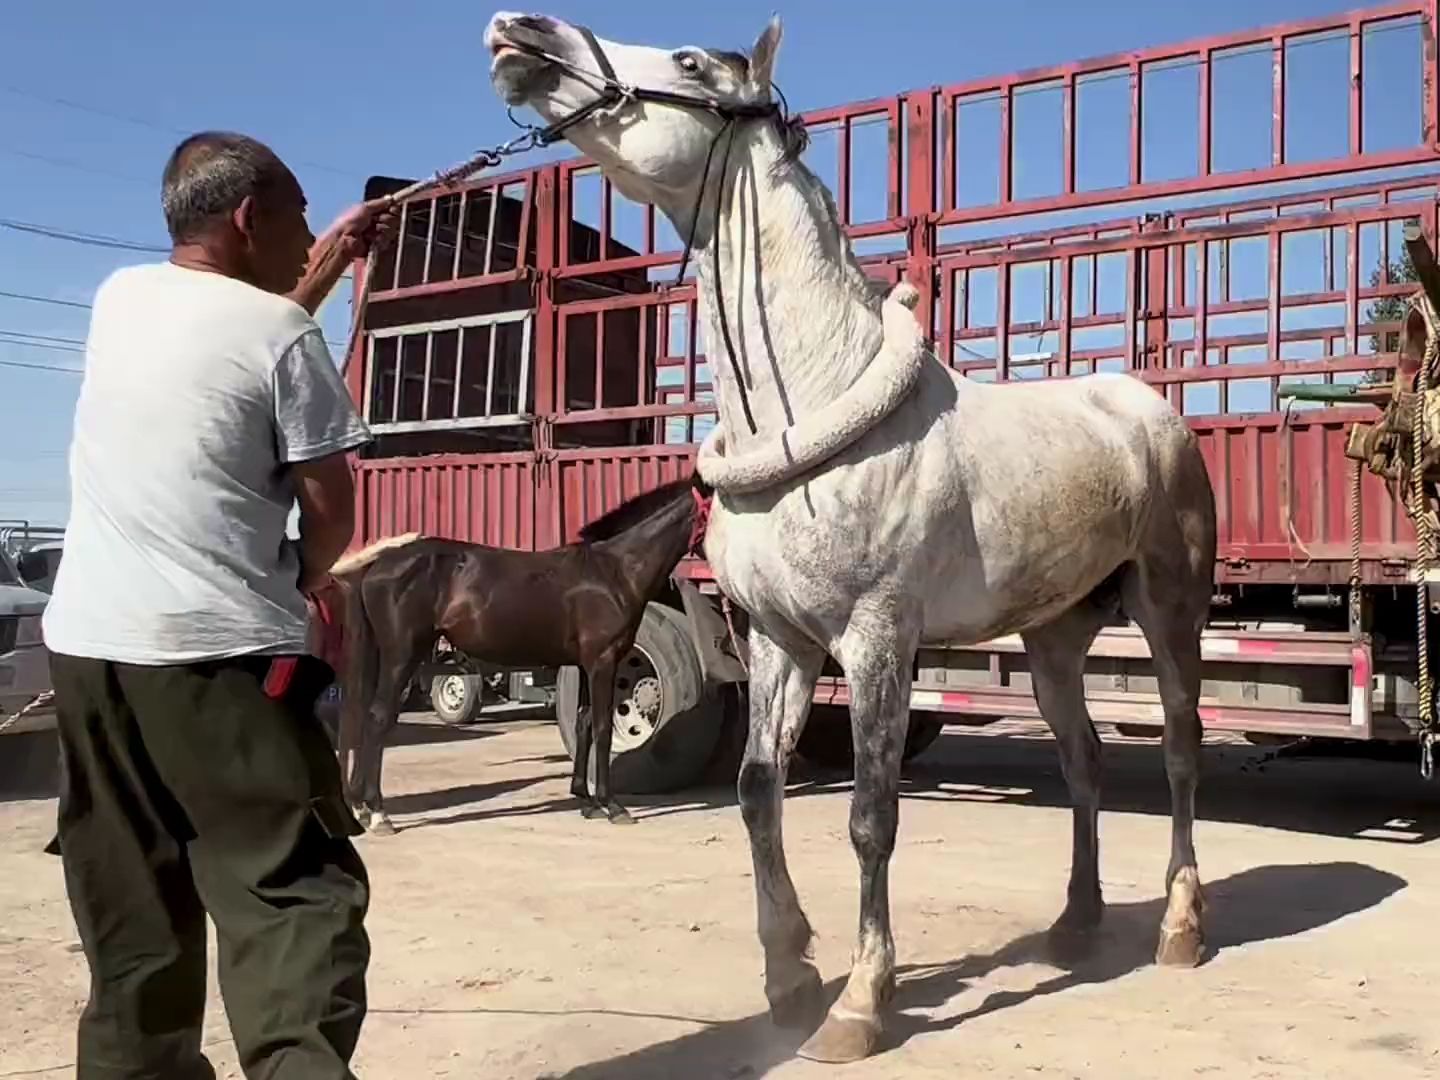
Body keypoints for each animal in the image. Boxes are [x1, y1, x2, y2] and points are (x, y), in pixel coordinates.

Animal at [332, 475, 714, 835]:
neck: (614, 572)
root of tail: (378, 564)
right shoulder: (604, 662)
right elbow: (604, 727)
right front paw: (613, 806)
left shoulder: (585, 665)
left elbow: (585, 723)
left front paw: (586, 801)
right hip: (402, 655)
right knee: (379, 718)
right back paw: (378, 814)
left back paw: (362, 807)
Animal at [489, 12, 1221, 1065]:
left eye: (691, 63)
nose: (522, 31)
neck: (812, 404)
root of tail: (1148, 412)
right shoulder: (779, 639)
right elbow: (758, 790)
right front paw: (789, 976)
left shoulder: (877, 641)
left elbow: (872, 815)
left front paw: (859, 1005)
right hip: (1054, 638)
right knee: (1082, 760)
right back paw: (1075, 926)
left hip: (1170, 614)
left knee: (1179, 752)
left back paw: (1180, 927)